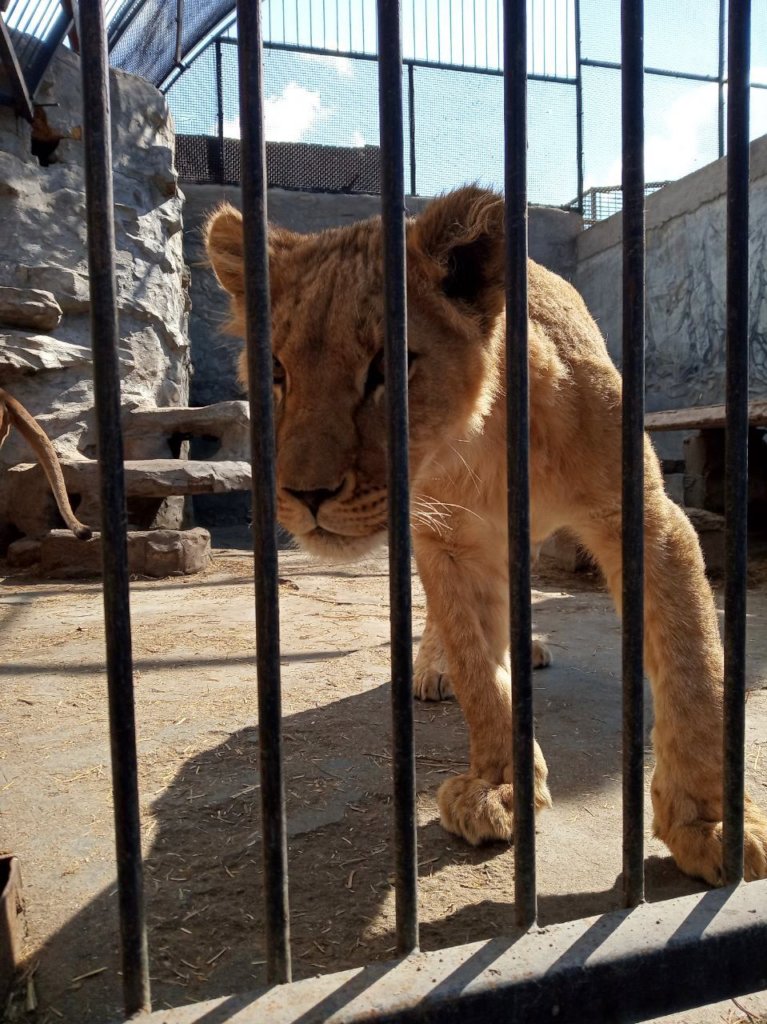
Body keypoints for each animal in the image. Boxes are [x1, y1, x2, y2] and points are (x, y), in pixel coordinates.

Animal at [206, 186, 767, 885]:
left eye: (389, 367)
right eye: (277, 373)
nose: (305, 495)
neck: (479, 445)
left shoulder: (646, 519)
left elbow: (695, 669)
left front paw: (711, 824)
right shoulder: (447, 546)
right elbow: (476, 665)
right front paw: (499, 784)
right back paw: (434, 667)